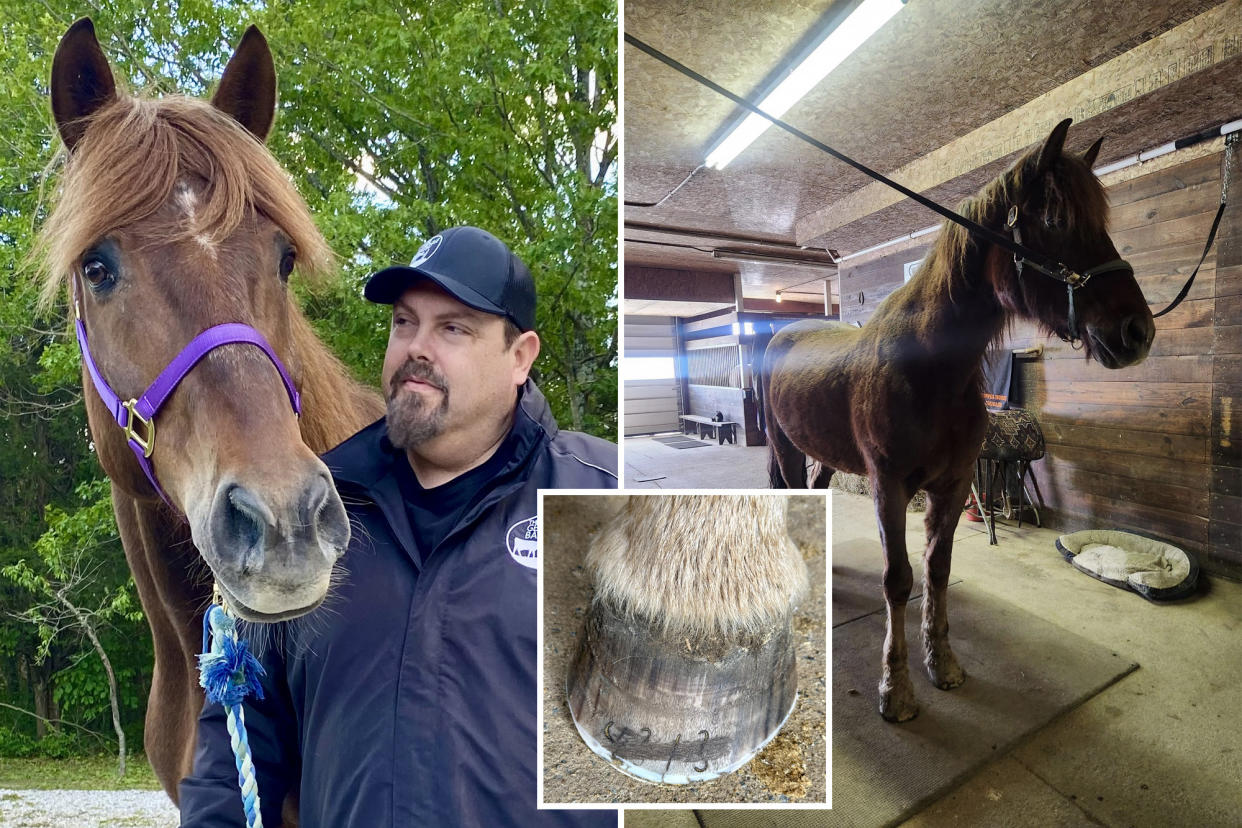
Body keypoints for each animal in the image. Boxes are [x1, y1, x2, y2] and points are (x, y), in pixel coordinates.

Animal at [755, 119, 1152, 720]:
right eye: (1055, 220)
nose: (1137, 331)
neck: (928, 369)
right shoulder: (890, 486)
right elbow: (899, 579)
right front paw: (895, 690)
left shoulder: (955, 483)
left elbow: (936, 571)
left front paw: (942, 664)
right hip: (786, 449)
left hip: (824, 455)